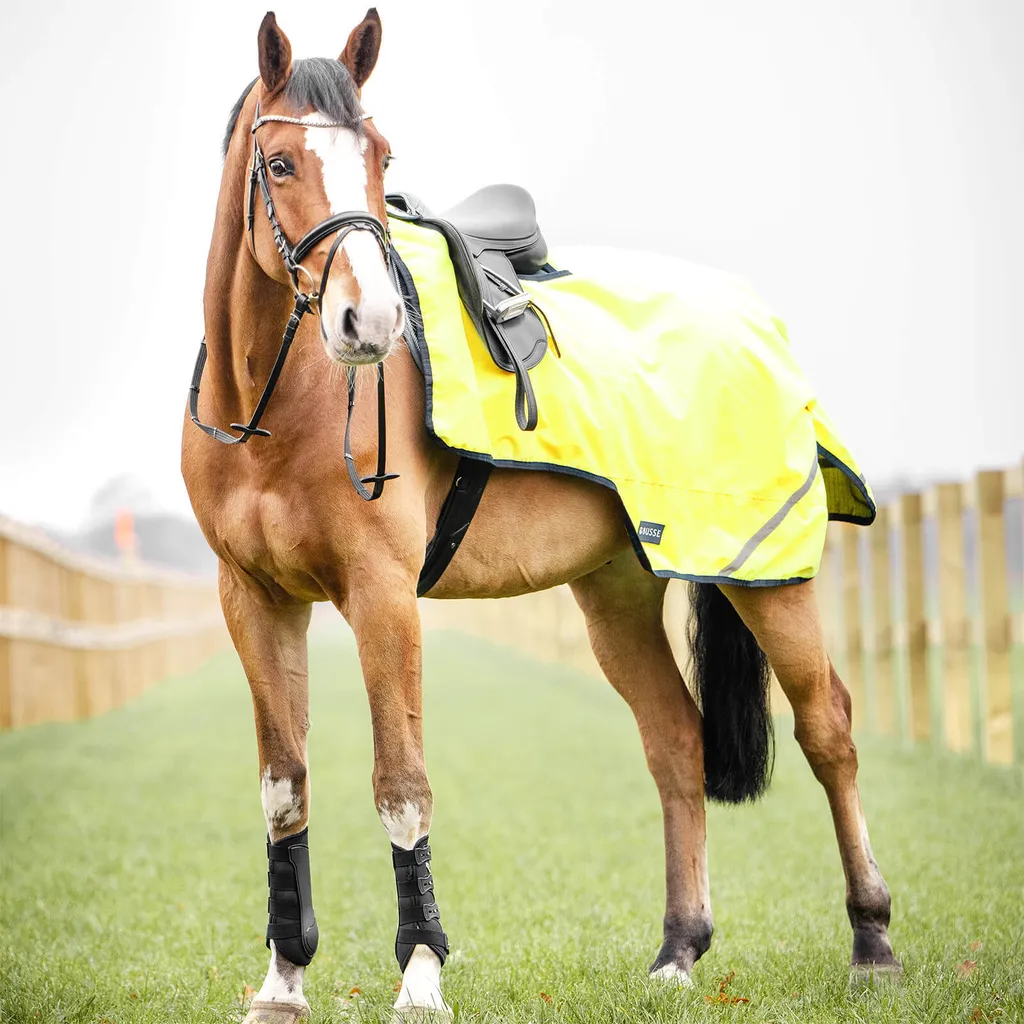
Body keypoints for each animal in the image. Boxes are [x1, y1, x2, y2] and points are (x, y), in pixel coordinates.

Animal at [181, 10, 900, 1021]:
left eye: (382, 154)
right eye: (280, 163)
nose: (369, 325)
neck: (276, 408)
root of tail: (751, 317)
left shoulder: (381, 597)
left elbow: (401, 785)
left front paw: (421, 975)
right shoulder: (253, 600)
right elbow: (285, 789)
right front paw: (283, 981)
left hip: (766, 578)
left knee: (828, 729)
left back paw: (873, 941)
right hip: (618, 594)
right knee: (675, 742)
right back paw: (679, 952)